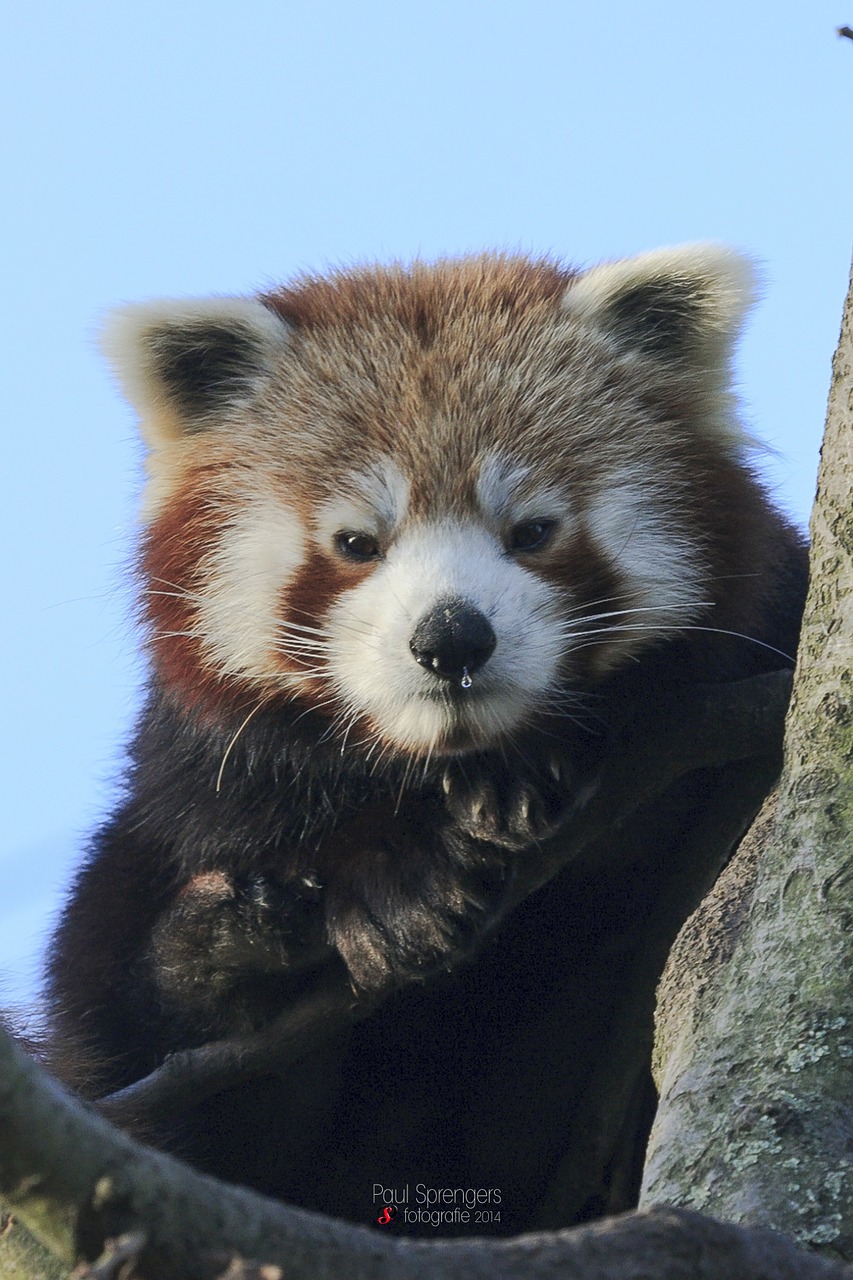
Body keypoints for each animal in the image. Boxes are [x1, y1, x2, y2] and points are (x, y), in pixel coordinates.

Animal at [44, 244, 804, 1233]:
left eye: (532, 531)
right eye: (355, 542)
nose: (451, 639)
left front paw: (525, 776)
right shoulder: (195, 775)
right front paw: (394, 881)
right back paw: (216, 956)